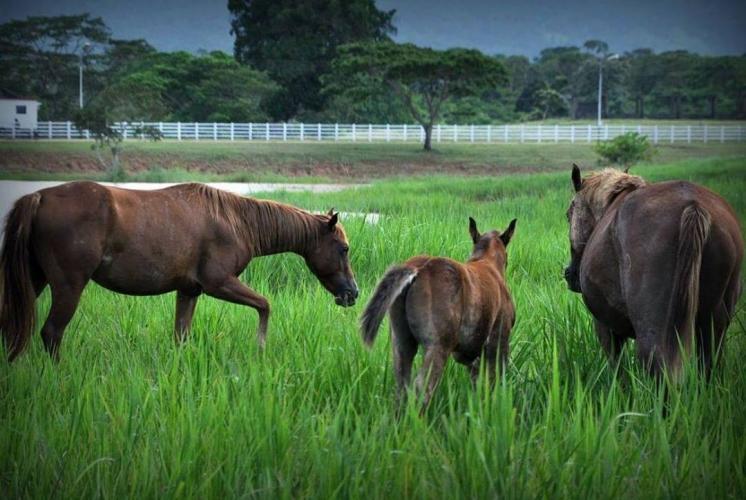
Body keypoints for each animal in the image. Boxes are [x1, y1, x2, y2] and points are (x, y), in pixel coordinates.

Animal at [0, 181, 359, 361]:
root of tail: (38, 197)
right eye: (344, 248)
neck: (237, 221)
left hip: (35, 279)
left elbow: (181, 336)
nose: (352, 293)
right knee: (51, 332)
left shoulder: (189, 290)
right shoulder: (218, 283)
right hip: (69, 286)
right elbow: (265, 306)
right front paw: (260, 347)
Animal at [361, 217, 516, 412]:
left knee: (402, 388)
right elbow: (494, 384)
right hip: (438, 347)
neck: (488, 261)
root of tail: (416, 268)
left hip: (402, 343)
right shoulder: (498, 343)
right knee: (421, 390)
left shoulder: (471, 356)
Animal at [564, 164, 743, 380]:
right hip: (713, 323)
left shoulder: (605, 327)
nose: (569, 274)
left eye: (568, 215)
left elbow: (618, 372)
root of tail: (692, 206)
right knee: (709, 362)